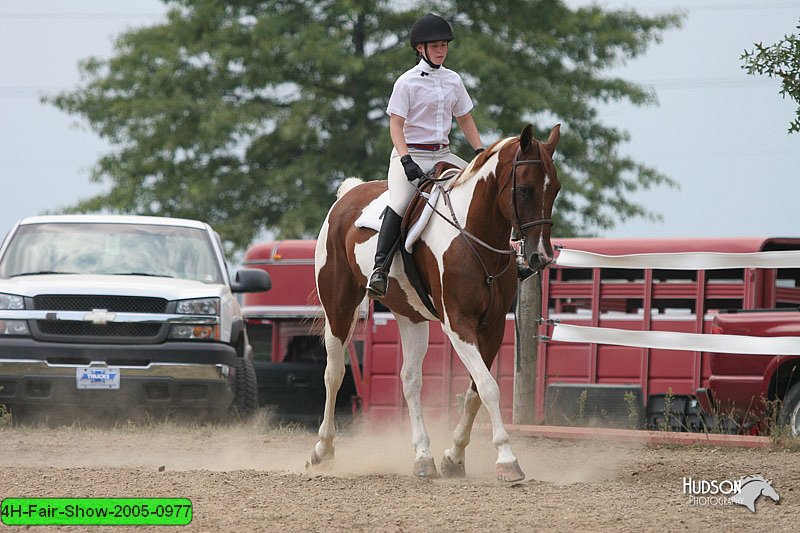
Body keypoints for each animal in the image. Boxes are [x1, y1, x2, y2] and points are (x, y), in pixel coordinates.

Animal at [310, 122, 560, 480]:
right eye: (525, 189)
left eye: (555, 189)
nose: (541, 256)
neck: (472, 236)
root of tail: (347, 196)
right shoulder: (458, 324)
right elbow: (489, 387)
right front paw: (507, 459)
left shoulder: (493, 327)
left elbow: (474, 392)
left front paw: (454, 457)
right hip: (339, 309)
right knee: (333, 374)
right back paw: (323, 450)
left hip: (411, 317)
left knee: (410, 381)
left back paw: (423, 457)